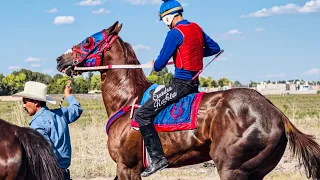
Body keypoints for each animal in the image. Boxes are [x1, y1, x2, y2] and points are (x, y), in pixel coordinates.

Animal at [56, 21, 320, 180]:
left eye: (88, 41)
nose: (60, 59)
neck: (127, 100)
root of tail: (277, 113)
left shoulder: (127, 167)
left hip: (232, 167)